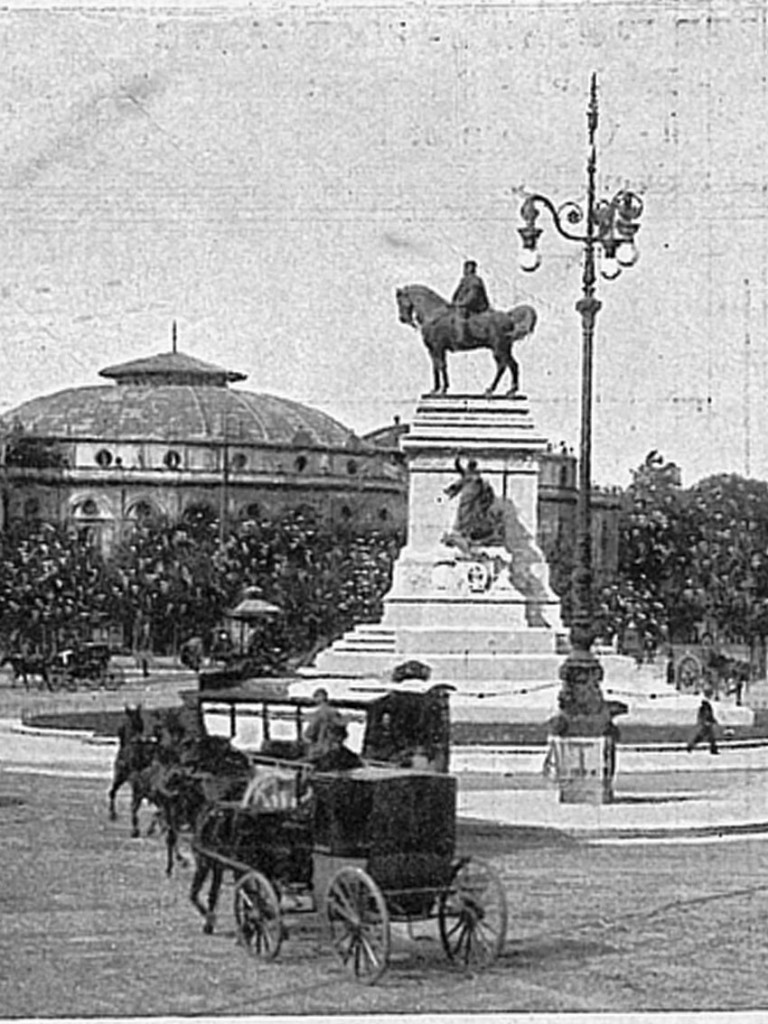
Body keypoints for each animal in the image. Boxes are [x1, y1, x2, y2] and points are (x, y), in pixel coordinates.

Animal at [397, 284, 536, 395]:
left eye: (399, 301)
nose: (402, 319)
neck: (433, 313)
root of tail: (509, 316)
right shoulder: (433, 350)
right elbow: (436, 367)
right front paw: (436, 389)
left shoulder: (438, 347)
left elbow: (441, 365)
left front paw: (443, 389)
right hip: (505, 349)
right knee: (513, 365)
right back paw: (510, 390)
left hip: (499, 349)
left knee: (504, 366)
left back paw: (492, 389)